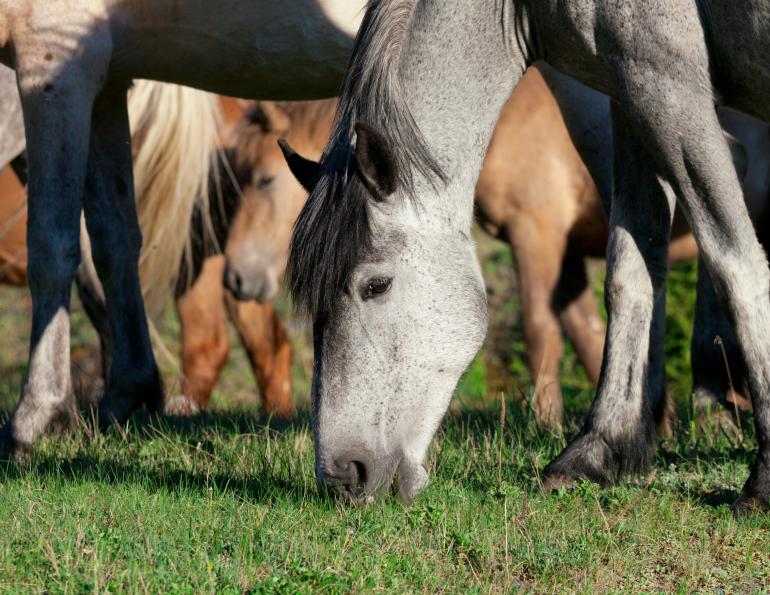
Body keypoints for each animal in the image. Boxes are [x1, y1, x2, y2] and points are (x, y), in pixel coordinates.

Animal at [0, 0, 367, 456]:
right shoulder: (107, 81)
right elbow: (113, 243)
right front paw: (126, 394)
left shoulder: (53, 64)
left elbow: (52, 248)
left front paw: (34, 419)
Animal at [283, 0, 770, 512]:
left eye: (376, 286)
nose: (341, 477)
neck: (518, 10)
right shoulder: (629, 93)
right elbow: (630, 273)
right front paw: (598, 451)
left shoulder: (667, 82)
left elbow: (733, 261)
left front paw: (762, 481)